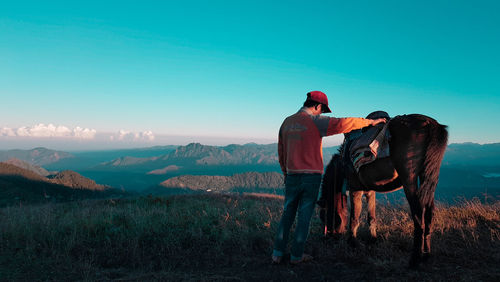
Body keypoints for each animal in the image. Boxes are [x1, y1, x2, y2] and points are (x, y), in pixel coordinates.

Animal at [320, 113, 450, 266]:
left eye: (323, 215)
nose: (329, 237)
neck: (342, 164)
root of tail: (430, 124)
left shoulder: (355, 188)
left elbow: (354, 218)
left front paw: (352, 242)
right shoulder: (370, 191)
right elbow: (371, 217)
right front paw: (373, 239)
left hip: (409, 179)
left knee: (418, 215)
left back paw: (414, 260)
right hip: (427, 178)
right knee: (429, 213)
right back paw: (426, 254)